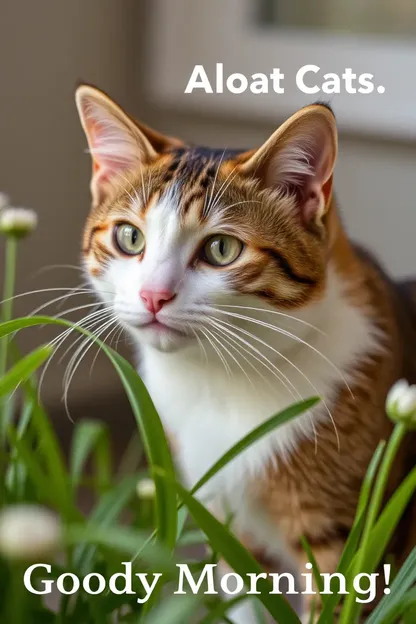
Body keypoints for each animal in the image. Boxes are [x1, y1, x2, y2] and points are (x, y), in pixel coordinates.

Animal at [75, 84, 416, 624]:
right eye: (130, 238)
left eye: (221, 249)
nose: (153, 296)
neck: (223, 378)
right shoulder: (227, 522)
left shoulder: (352, 541)